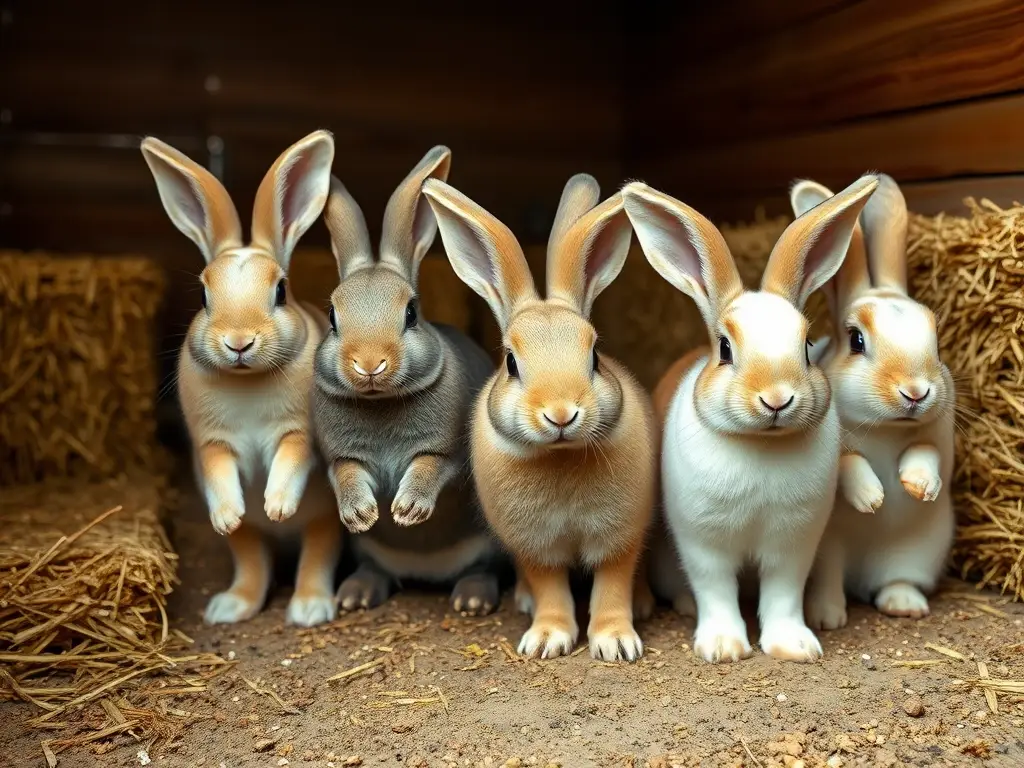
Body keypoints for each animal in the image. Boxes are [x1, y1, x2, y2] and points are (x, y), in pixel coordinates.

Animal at [140, 130, 342, 627]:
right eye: (203, 294)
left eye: (281, 291)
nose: (238, 342)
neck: (247, 380)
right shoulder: (212, 442)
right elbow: (219, 471)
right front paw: (227, 514)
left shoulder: (298, 433)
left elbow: (290, 459)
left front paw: (278, 504)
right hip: (249, 543)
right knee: (253, 560)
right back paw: (230, 606)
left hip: (325, 521)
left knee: (317, 552)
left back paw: (309, 607)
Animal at [312, 146, 503, 616]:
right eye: (332, 316)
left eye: (412, 313)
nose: (369, 364)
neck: (380, 400)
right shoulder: (341, 458)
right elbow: (347, 474)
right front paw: (361, 515)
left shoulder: (447, 452)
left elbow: (430, 466)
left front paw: (408, 510)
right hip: (370, 555)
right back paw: (356, 596)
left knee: (483, 570)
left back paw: (472, 599)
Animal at [422, 173, 657, 662]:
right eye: (511, 363)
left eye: (595, 355)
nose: (561, 413)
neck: (560, 456)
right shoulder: (534, 545)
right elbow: (551, 588)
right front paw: (547, 638)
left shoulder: (620, 535)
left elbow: (613, 584)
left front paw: (616, 643)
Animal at [621, 173, 880, 664]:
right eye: (725, 348)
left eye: (806, 346)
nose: (777, 398)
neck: (762, 444)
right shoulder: (704, 543)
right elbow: (715, 591)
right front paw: (723, 648)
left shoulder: (792, 544)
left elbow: (782, 595)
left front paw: (794, 647)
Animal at [789, 174, 956, 629]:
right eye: (856, 340)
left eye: (936, 340)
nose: (915, 391)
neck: (886, 428)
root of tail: (860, 579)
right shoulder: (838, 451)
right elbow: (849, 463)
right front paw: (873, 498)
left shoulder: (936, 440)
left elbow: (926, 454)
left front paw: (918, 486)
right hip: (827, 554)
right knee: (830, 581)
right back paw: (827, 615)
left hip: (917, 555)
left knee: (896, 581)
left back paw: (904, 604)